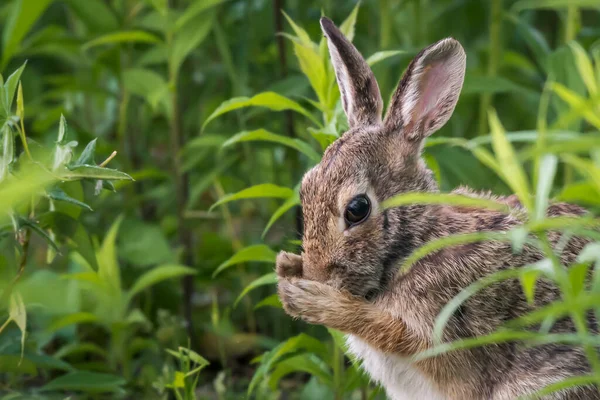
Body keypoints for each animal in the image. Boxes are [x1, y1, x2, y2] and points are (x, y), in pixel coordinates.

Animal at [276, 16, 600, 400]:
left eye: (357, 209)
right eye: (305, 188)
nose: (317, 274)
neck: (415, 243)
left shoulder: (443, 330)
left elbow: (388, 330)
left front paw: (308, 298)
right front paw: (287, 267)